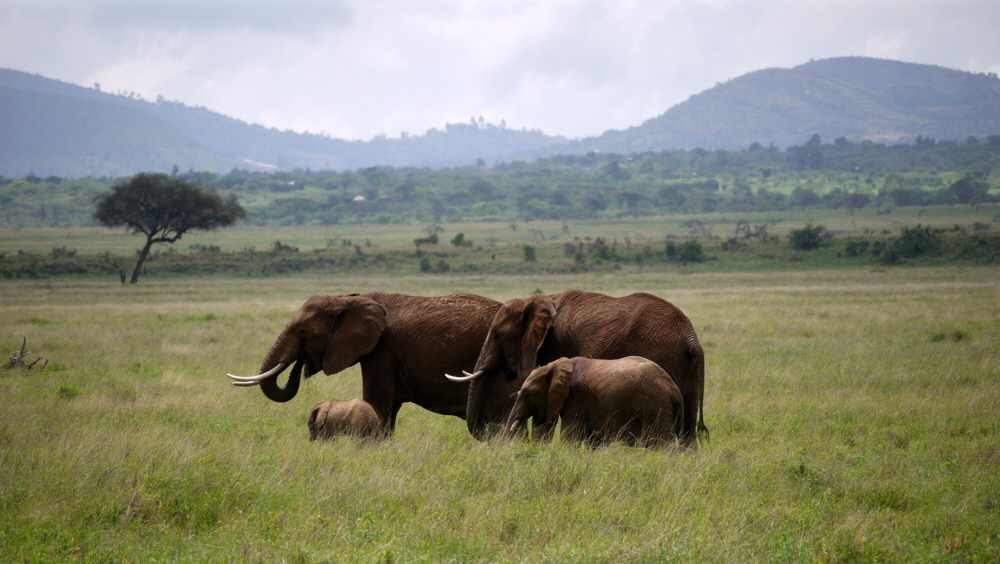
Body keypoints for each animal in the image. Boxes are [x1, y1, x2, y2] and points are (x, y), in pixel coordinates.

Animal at [227, 294, 524, 434]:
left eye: (302, 331)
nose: (302, 365)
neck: (348, 299)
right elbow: (388, 410)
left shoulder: (382, 348)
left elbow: (377, 402)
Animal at [504, 356, 684, 450]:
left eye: (526, 394)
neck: (556, 366)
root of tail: (675, 391)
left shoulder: (576, 398)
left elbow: (570, 436)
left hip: (657, 408)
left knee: (662, 445)